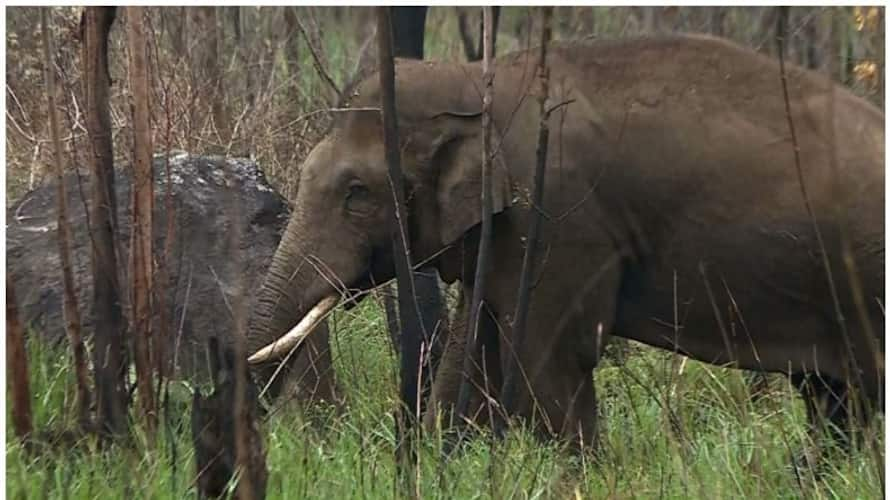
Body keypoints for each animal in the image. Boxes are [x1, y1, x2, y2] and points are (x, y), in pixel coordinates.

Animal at [243, 35, 880, 450]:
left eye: (357, 192)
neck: (475, 78)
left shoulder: (554, 217)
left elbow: (548, 356)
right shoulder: (503, 235)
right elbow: (475, 351)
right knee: (836, 399)